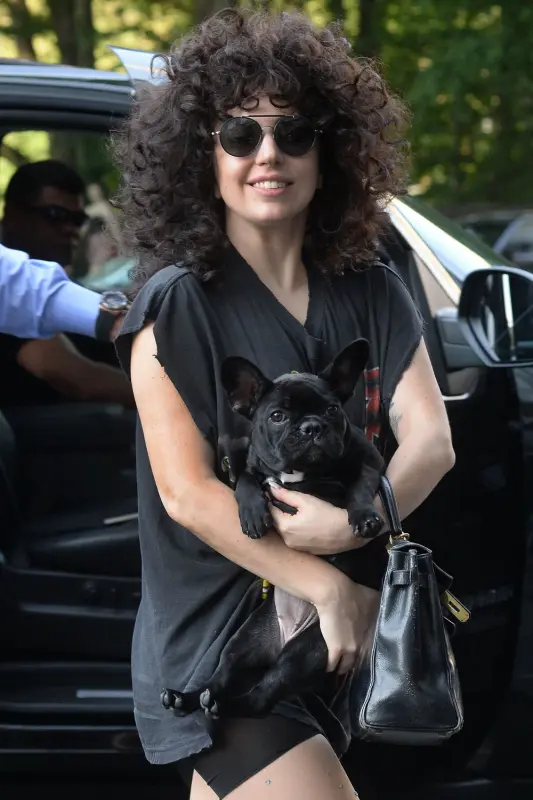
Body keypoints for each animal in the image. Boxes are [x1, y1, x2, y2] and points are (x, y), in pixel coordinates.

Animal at [160, 340, 384, 724]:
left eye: (332, 410)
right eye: (277, 416)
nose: (312, 427)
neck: (302, 474)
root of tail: (285, 637)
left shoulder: (368, 462)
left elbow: (358, 487)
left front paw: (364, 518)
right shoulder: (252, 466)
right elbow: (248, 479)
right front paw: (252, 512)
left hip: (308, 651)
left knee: (262, 696)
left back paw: (225, 705)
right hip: (245, 640)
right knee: (220, 677)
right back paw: (189, 698)